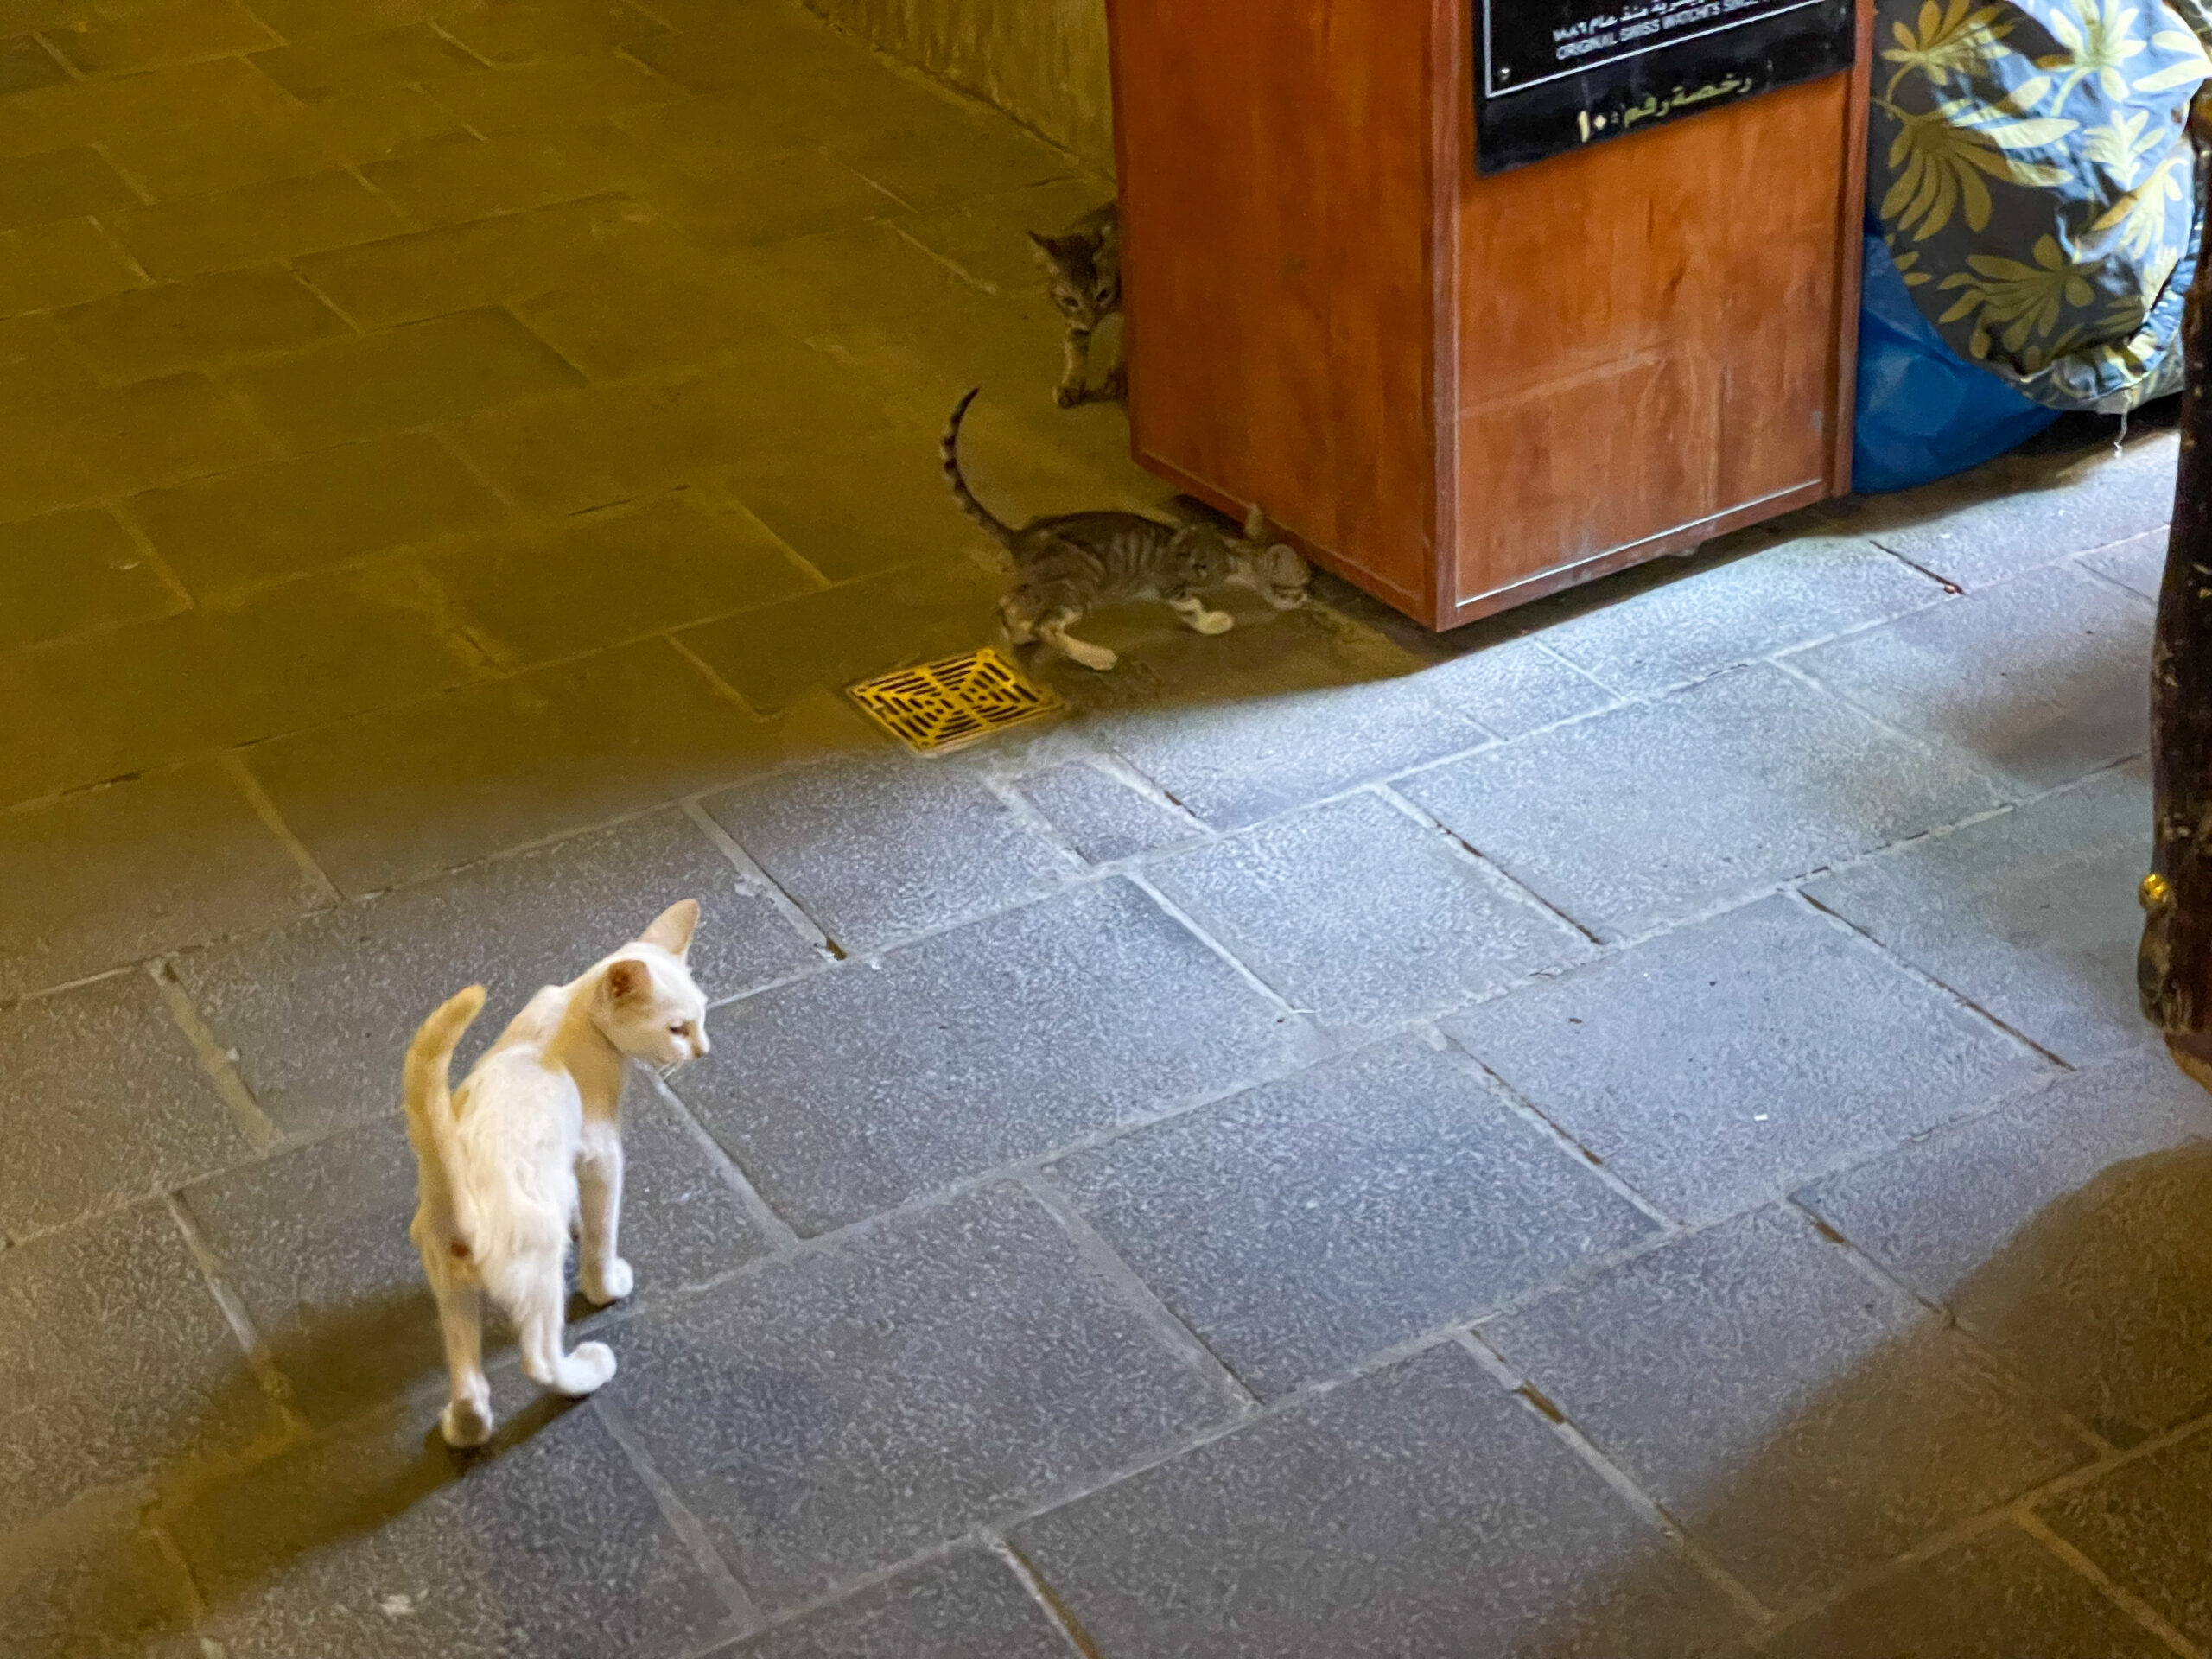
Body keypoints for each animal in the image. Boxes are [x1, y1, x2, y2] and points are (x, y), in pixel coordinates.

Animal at [400, 902, 708, 1451]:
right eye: (677, 1029)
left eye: (702, 1018)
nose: (703, 1050)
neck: (573, 1008)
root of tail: (461, 1201)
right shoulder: (601, 1154)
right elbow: (603, 1233)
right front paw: (605, 1284)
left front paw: (577, 1224)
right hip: (538, 1272)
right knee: (539, 1361)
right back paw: (585, 1373)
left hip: (449, 1287)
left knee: (468, 1380)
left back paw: (466, 1428)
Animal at [938, 389, 1309, 677]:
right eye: (1301, 584)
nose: (1308, 598)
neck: (1231, 550)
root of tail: (1022, 534)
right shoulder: (1171, 581)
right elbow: (1190, 606)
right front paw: (1213, 622)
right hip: (1080, 587)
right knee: (1047, 625)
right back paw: (1095, 656)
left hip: (1046, 583)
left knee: (1010, 603)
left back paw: (1017, 631)